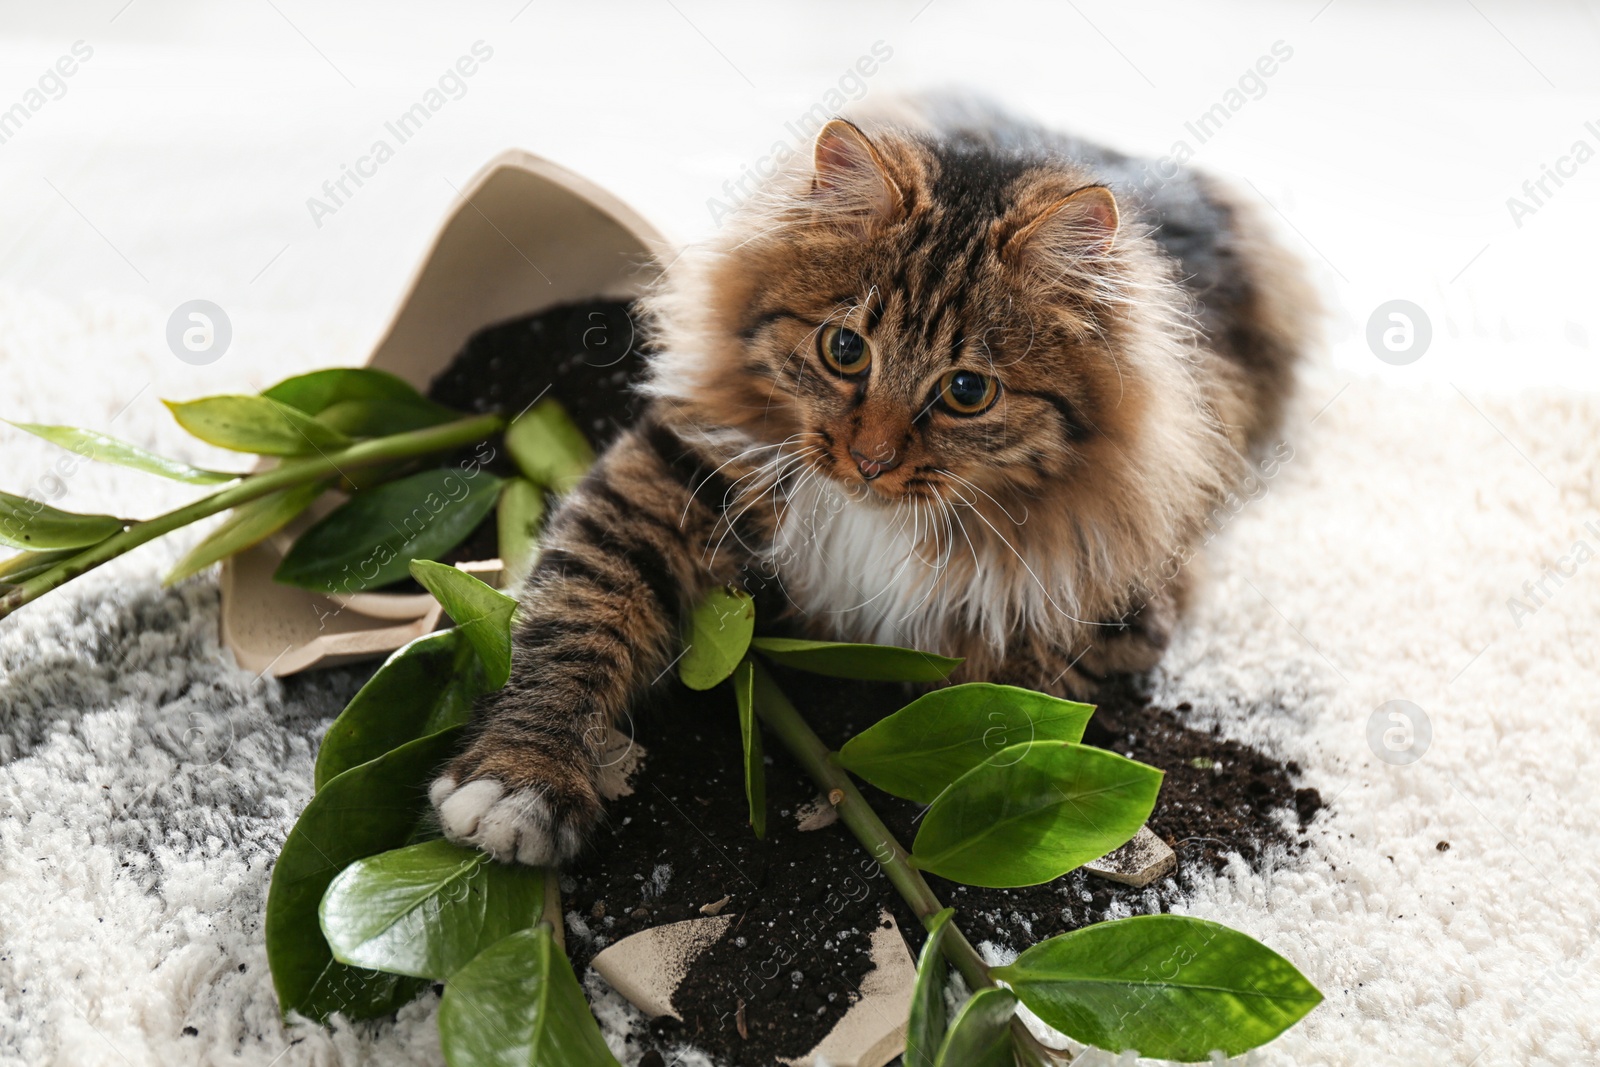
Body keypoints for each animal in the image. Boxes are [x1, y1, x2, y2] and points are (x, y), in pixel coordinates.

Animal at [425, 95, 1312, 870]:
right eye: (844, 349)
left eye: (968, 391)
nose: (871, 459)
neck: (876, 516)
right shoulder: (668, 475)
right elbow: (574, 620)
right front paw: (521, 784)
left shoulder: (1115, 601)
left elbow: (1012, 694)